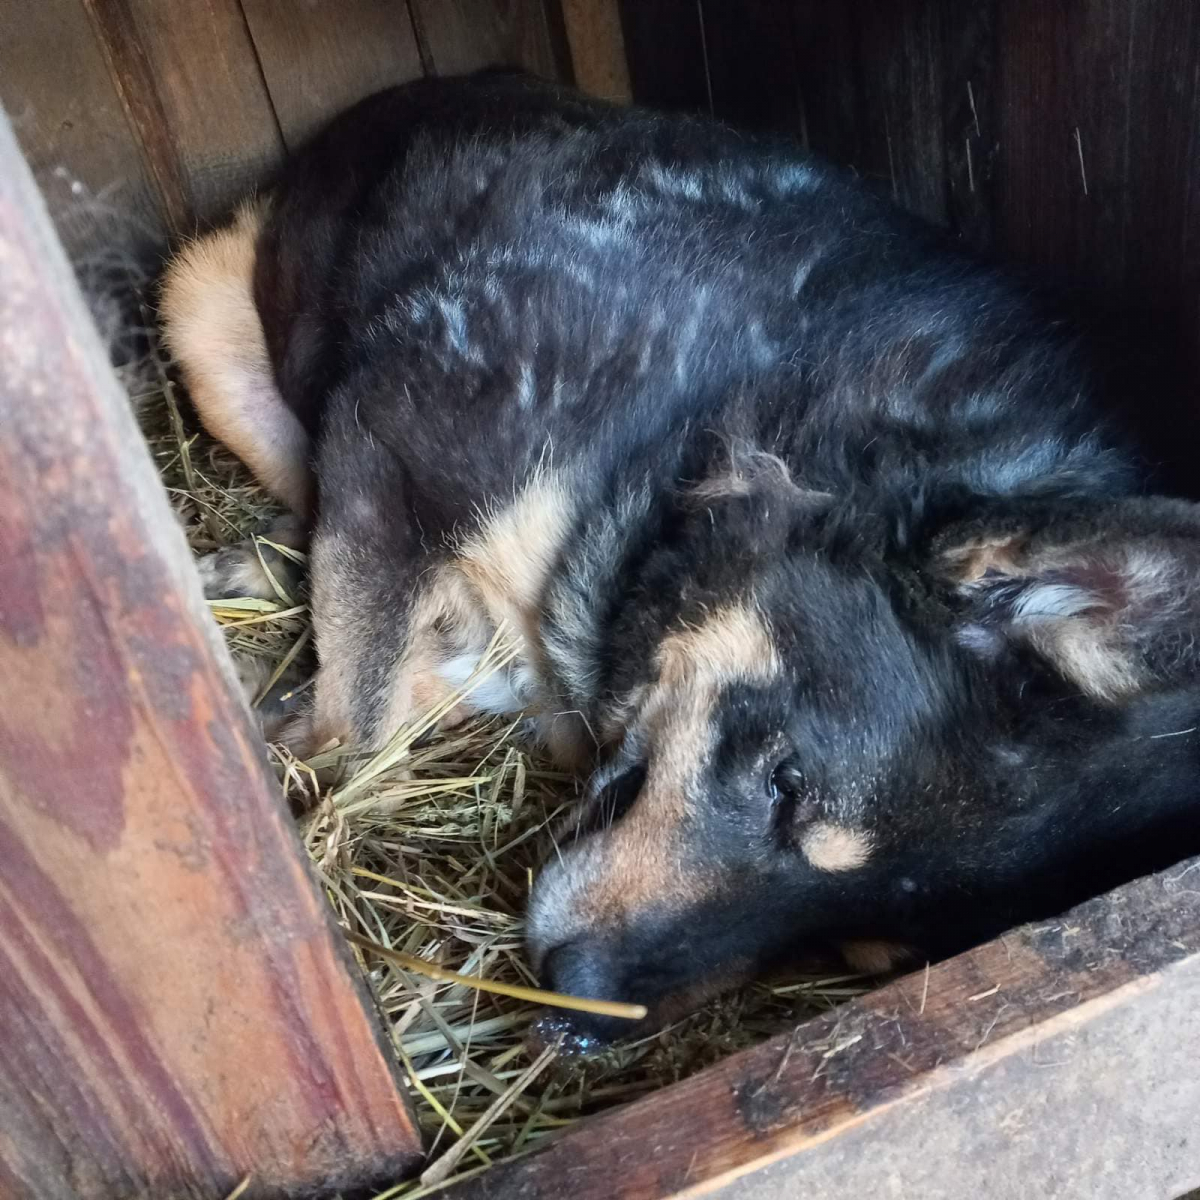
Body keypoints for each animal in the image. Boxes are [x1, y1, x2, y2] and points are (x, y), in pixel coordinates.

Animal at [159, 70, 1200, 1041]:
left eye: (848, 947)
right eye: (788, 785)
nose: (577, 1016)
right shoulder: (389, 449)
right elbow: (361, 730)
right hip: (199, 306)